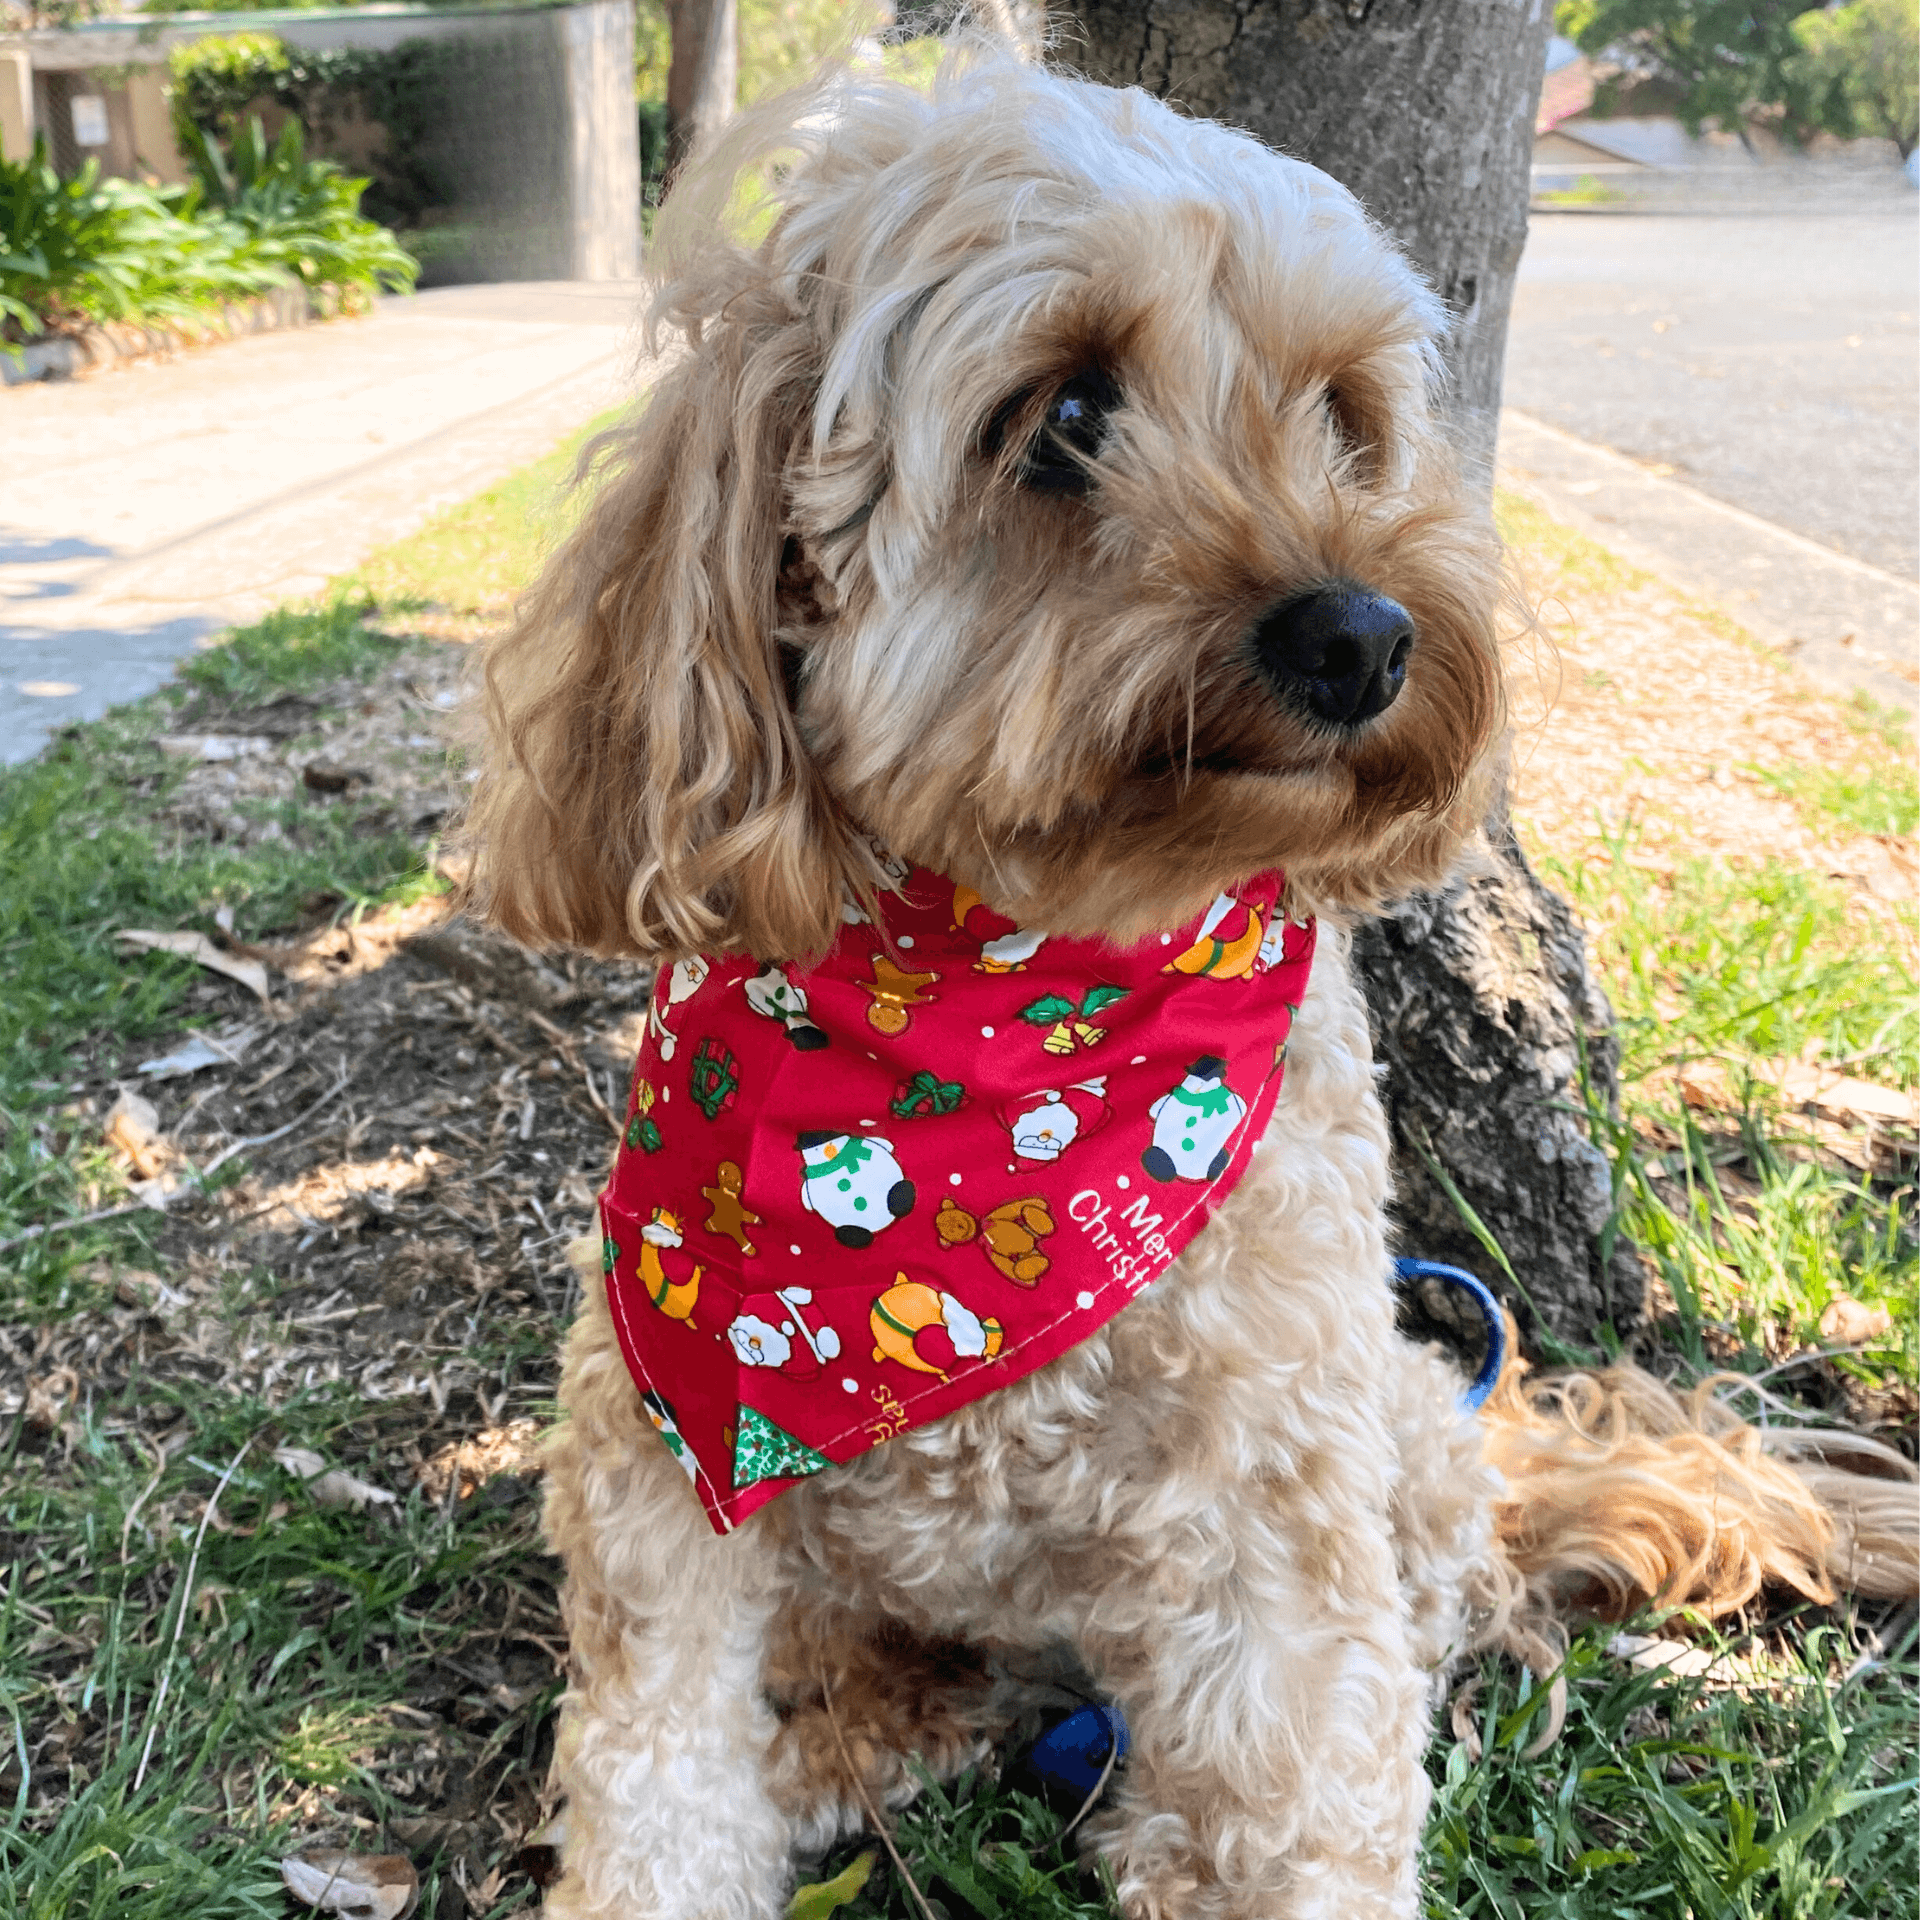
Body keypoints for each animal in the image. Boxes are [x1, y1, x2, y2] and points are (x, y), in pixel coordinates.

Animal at [468, 45, 1920, 1920]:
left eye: (1346, 415)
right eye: (1067, 417)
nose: (1363, 635)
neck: (1008, 1022)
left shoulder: (1268, 1521)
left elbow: (1305, 1803)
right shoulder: (661, 1489)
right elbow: (657, 1783)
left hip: (1386, 1450)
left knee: (1409, 1624)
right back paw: (852, 1743)